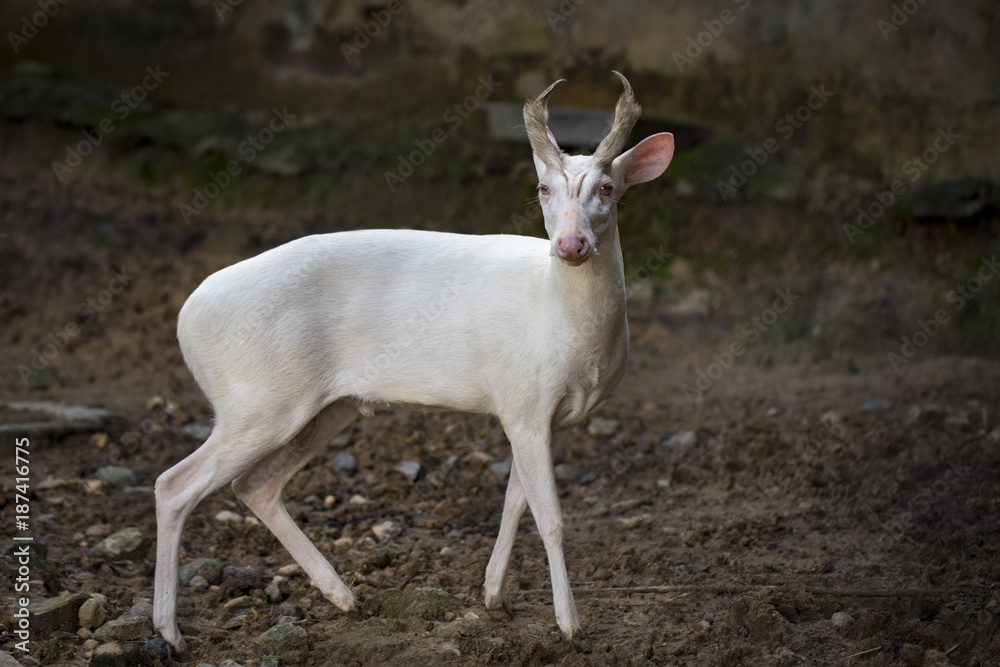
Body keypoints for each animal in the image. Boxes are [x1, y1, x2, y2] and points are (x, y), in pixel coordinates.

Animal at [153, 71, 674, 653]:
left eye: (607, 187)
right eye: (543, 188)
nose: (570, 245)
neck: (563, 327)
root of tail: (187, 319)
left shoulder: (543, 414)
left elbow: (515, 502)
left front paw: (494, 598)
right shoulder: (522, 400)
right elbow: (552, 518)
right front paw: (569, 625)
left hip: (324, 405)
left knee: (255, 486)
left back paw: (344, 598)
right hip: (255, 398)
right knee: (174, 484)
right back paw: (170, 631)